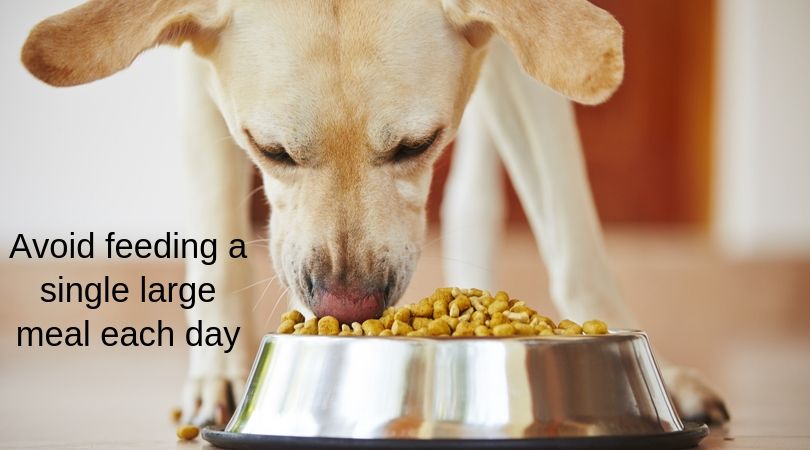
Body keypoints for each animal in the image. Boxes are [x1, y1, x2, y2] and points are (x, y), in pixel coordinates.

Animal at [20, 0, 724, 426]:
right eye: (270, 149)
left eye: (417, 144)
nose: (347, 306)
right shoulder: (200, 81)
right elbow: (214, 229)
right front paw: (219, 373)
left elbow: (573, 235)